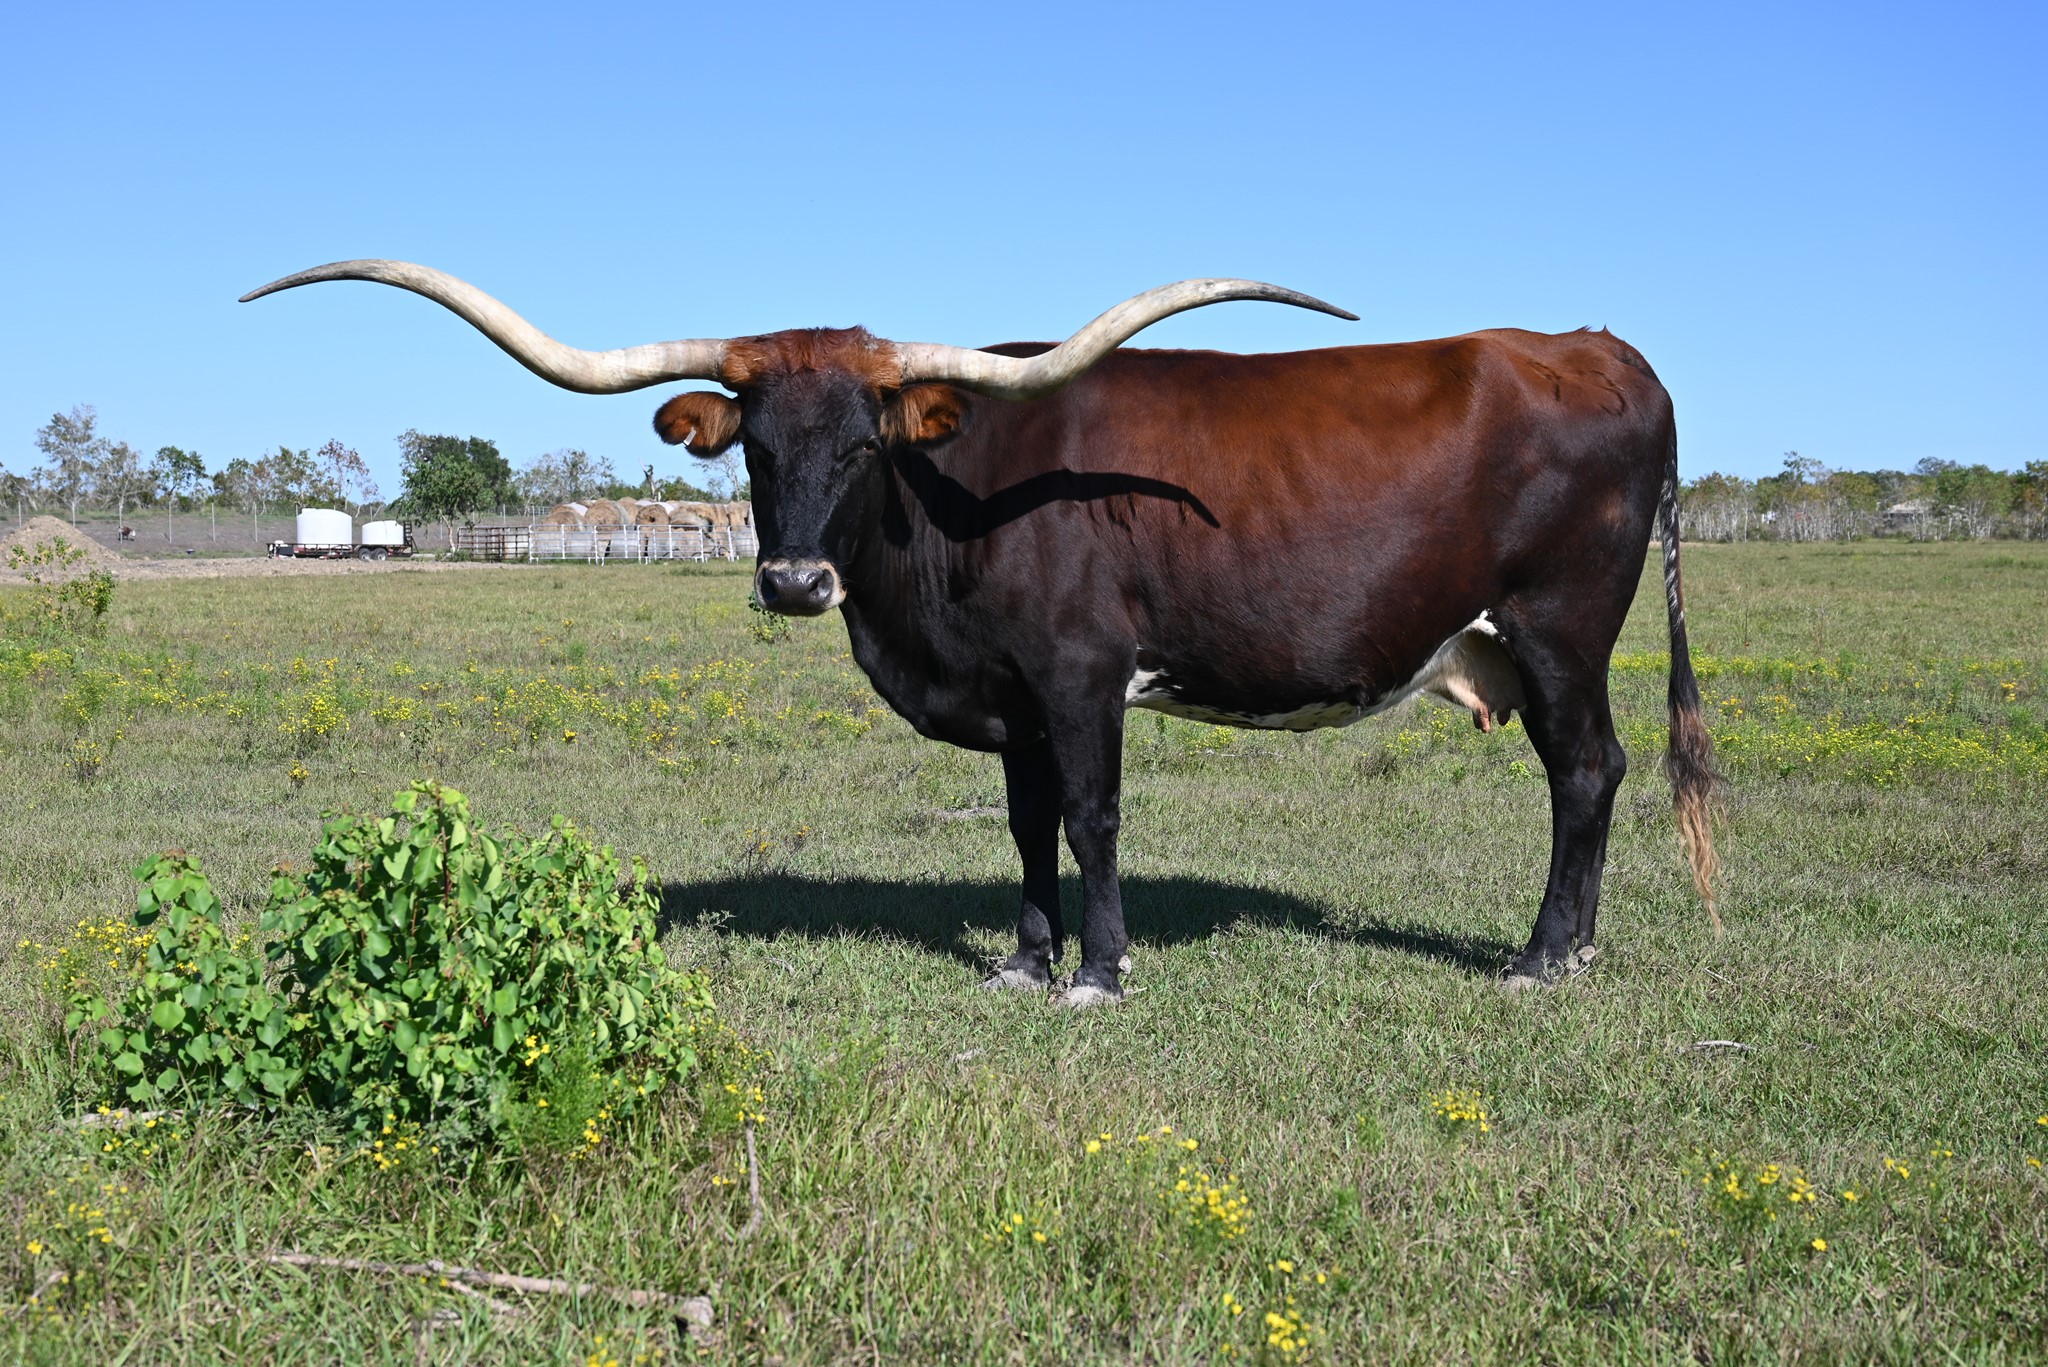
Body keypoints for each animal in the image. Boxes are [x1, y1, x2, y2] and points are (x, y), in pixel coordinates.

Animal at [243, 261, 1721, 1007]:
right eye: (755, 449)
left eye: (864, 443)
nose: (793, 581)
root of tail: (1597, 347)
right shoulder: (1011, 697)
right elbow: (1024, 825)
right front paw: (1022, 956)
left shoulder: (1081, 675)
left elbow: (1093, 817)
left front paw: (1100, 972)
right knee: (1588, 774)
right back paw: (1569, 947)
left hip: (1558, 627)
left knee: (1587, 772)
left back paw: (1541, 956)